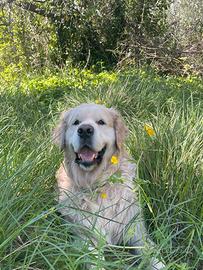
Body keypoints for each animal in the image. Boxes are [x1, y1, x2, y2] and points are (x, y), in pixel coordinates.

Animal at [52, 102, 165, 268]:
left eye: (101, 122)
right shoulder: (85, 237)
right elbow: (95, 261)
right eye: (76, 122)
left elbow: (152, 255)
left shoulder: (135, 230)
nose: (85, 130)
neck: (98, 184)